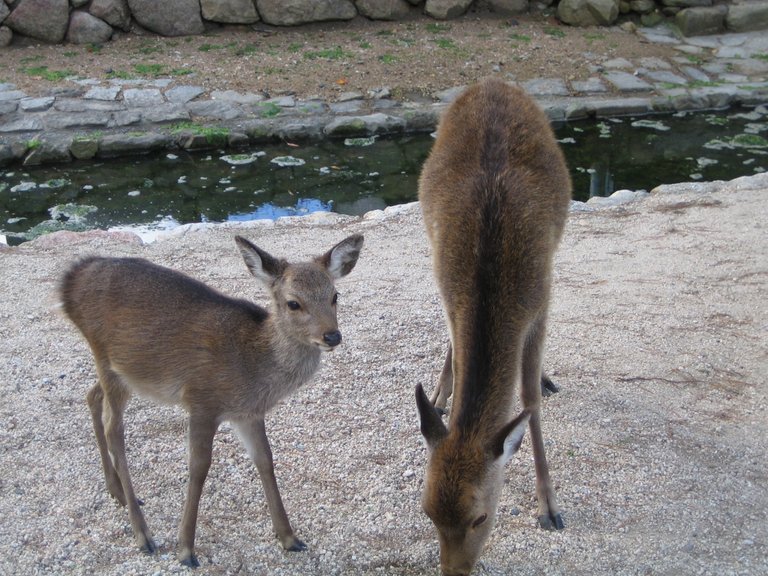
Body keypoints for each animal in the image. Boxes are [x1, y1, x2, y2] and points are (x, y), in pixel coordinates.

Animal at [58, 234, 364, 568]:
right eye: (293, 303)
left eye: (335, 295)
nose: (332, 336)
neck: (254, 365)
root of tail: (68, 281)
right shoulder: (202, 400)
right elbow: (199, 466)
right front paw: (186, 550)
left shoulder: (248, 413)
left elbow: (265, 459)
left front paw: (289, 538)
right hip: (107, 358)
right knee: (114, 430)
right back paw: (143, 533)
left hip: (123, 372)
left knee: (92, 396)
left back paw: (117, 492)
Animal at [414, 77, 568, 576]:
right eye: (427, 512)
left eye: (480, 516)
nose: (454, 572)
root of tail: (492, 82)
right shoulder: (447, 293)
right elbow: (458, 355)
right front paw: (443, 394)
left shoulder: (542, 301)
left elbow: (530, 400)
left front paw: (549, 506)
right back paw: (440, 395)